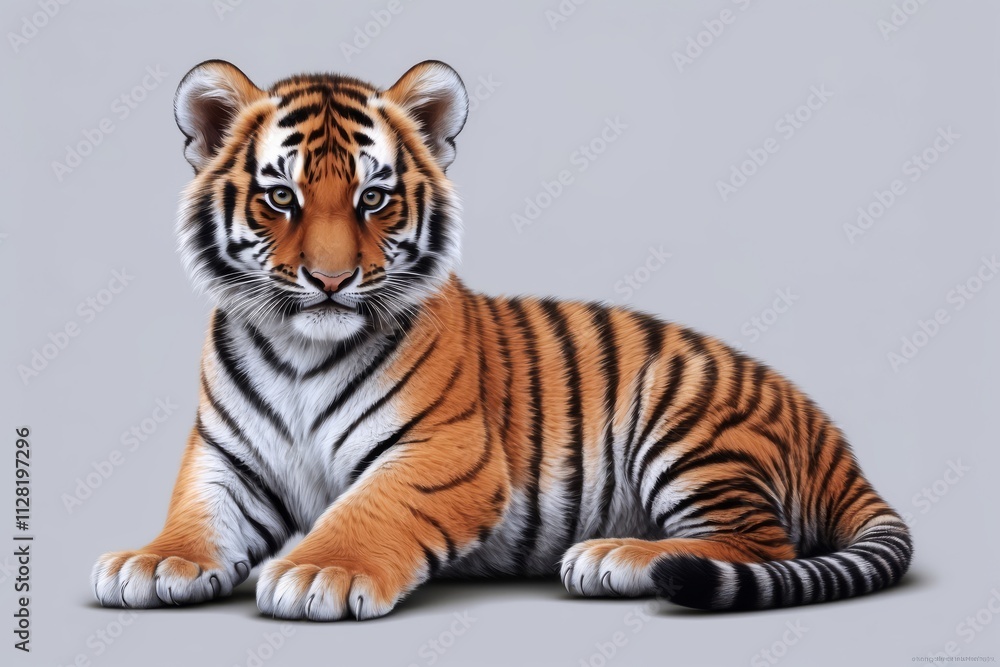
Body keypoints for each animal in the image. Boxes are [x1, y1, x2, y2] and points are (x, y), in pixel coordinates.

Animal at [91, 59, 913, 620]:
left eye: (374, 197)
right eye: (281, 197)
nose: (329, 279)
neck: (302, 352)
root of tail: (826, 429)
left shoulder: (444, 453)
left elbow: (365, 509)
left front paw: (317, 571)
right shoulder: (226, 455)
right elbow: (197, 512)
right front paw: (152, 562)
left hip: (687, 425)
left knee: (759, 543)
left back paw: (618, 556)